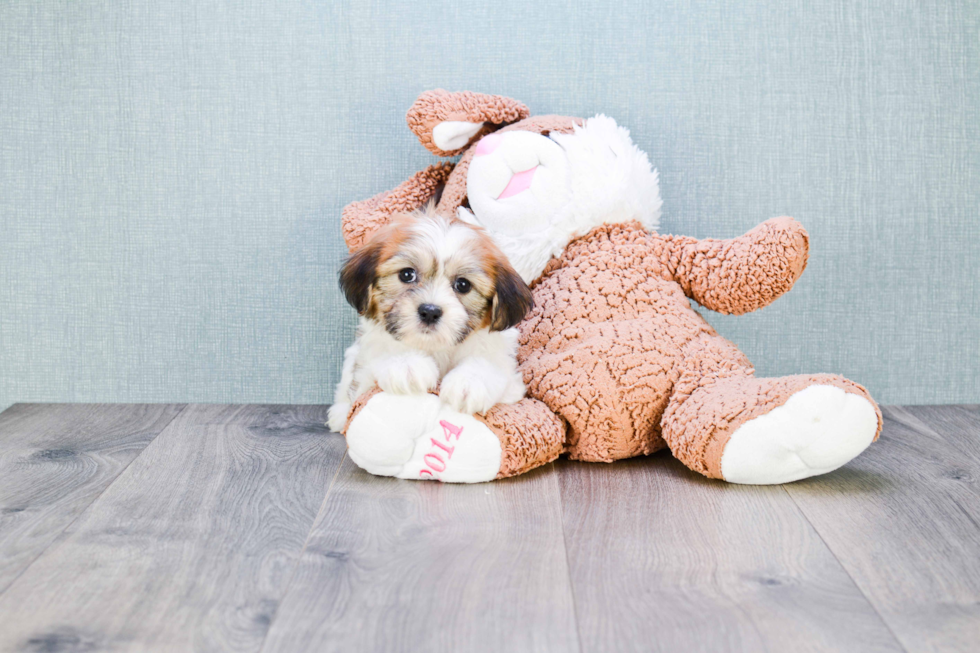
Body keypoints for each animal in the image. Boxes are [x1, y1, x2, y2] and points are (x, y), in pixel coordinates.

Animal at [326, 206, 532, 430]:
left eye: (463, 285)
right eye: (407, 274)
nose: (430, 311)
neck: (436, 348)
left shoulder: (509, 380)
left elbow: (489, 362)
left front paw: (470, 381)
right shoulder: (365, 369)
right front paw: (406, 364)